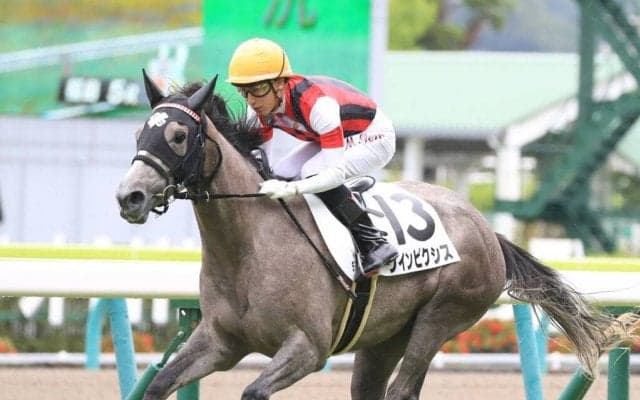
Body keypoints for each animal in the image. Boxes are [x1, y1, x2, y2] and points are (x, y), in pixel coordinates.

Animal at [116, 72, 631, 400]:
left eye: (179, 135)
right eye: (141, 132)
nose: (130, 197)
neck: (247, 247)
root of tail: (486, 228)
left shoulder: (307, 348)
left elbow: (254, 390)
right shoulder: (219, 340)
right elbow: (158, 383)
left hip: (441, 317)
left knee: (404, 389)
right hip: (383, 337)